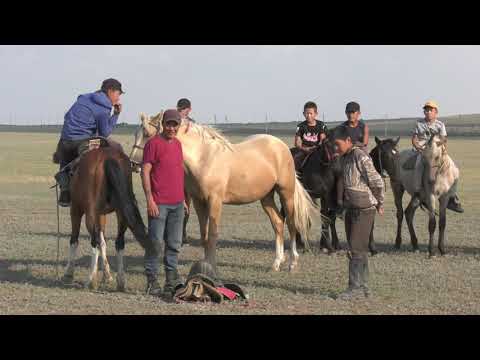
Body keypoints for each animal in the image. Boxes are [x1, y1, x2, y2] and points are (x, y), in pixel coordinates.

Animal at [61, 143, 152, 290]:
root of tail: (107, 159)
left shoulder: (76, 210)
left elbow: (74, 240)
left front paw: (68, 274)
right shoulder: (101, 214)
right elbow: (103, 242)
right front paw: (107, 275)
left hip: (90, 212)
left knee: (94, 240)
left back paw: (91, 281)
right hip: (121, 211)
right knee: (119, 242)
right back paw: (121, 281)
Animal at [129, 112, 320, 272]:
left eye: (147, 133)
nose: (133, 163)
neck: (204, 157)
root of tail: (281, 146)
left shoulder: (214, 201)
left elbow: (213, 234)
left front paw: (211, 266)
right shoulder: (199, 201)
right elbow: (204, 235)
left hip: (286, 193)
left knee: (292, 224)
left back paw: (292, 262)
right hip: (266, 197)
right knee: (278, 223)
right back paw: (276, 263)